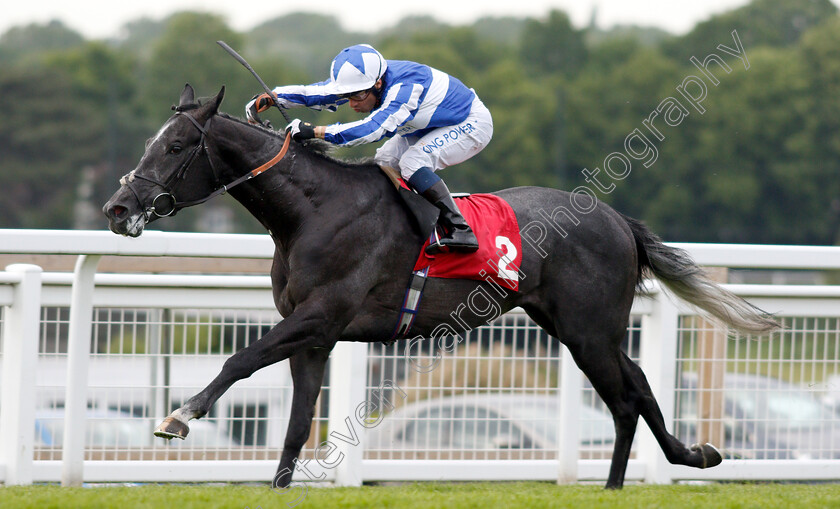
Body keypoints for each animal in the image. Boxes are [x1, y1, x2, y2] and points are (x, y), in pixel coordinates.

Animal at [101, 85, 776, 490]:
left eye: (178, 146)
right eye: (153, 142)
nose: (116, 207)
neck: (312, 211)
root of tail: (616, 219)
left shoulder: (319, 317)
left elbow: (239, 360)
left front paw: (179, 417)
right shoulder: (315, 337)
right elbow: (296, 421)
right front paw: (278, 486)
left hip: (589, 329)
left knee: (627, 395)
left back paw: (656, 469)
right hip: (575, 326)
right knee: (633, 390)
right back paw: (671, 464)